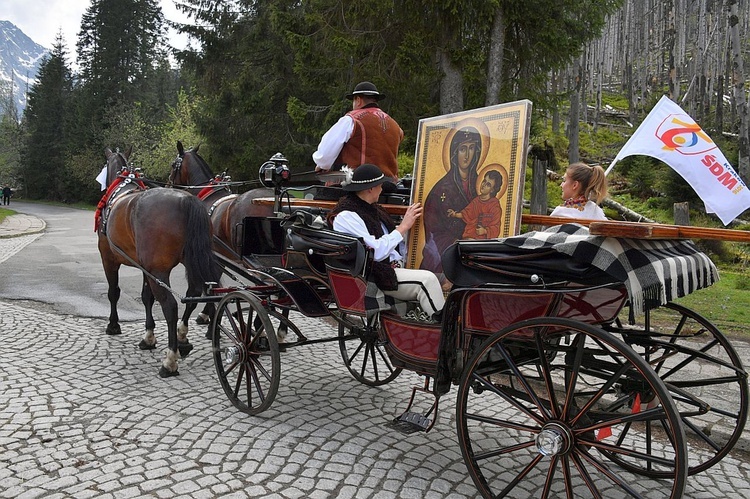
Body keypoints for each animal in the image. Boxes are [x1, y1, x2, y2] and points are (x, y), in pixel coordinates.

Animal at [96, 146, 220, 376]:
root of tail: (187, 200)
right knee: (195, 295)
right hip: (189, 263)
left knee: (170, 306)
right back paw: (184, 340)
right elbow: (147, 297)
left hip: (159, 271)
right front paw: (148, 336)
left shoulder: (108, 258)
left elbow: (113, 292)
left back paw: (170, 360)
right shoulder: (145, 267)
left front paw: (113, 325)